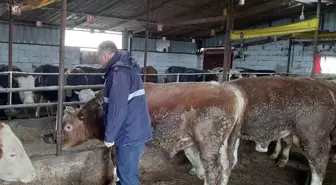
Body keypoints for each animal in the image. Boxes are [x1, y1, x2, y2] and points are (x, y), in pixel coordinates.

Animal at [43, 77, 336, 185]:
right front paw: (195, 171)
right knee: (226, 166)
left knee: (319, 162)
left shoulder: (119, 142)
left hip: (311, 134)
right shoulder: (186, 139)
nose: (50, 137)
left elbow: (117, 164)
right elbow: (191, 157)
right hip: (225, 140)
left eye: (67, 126)